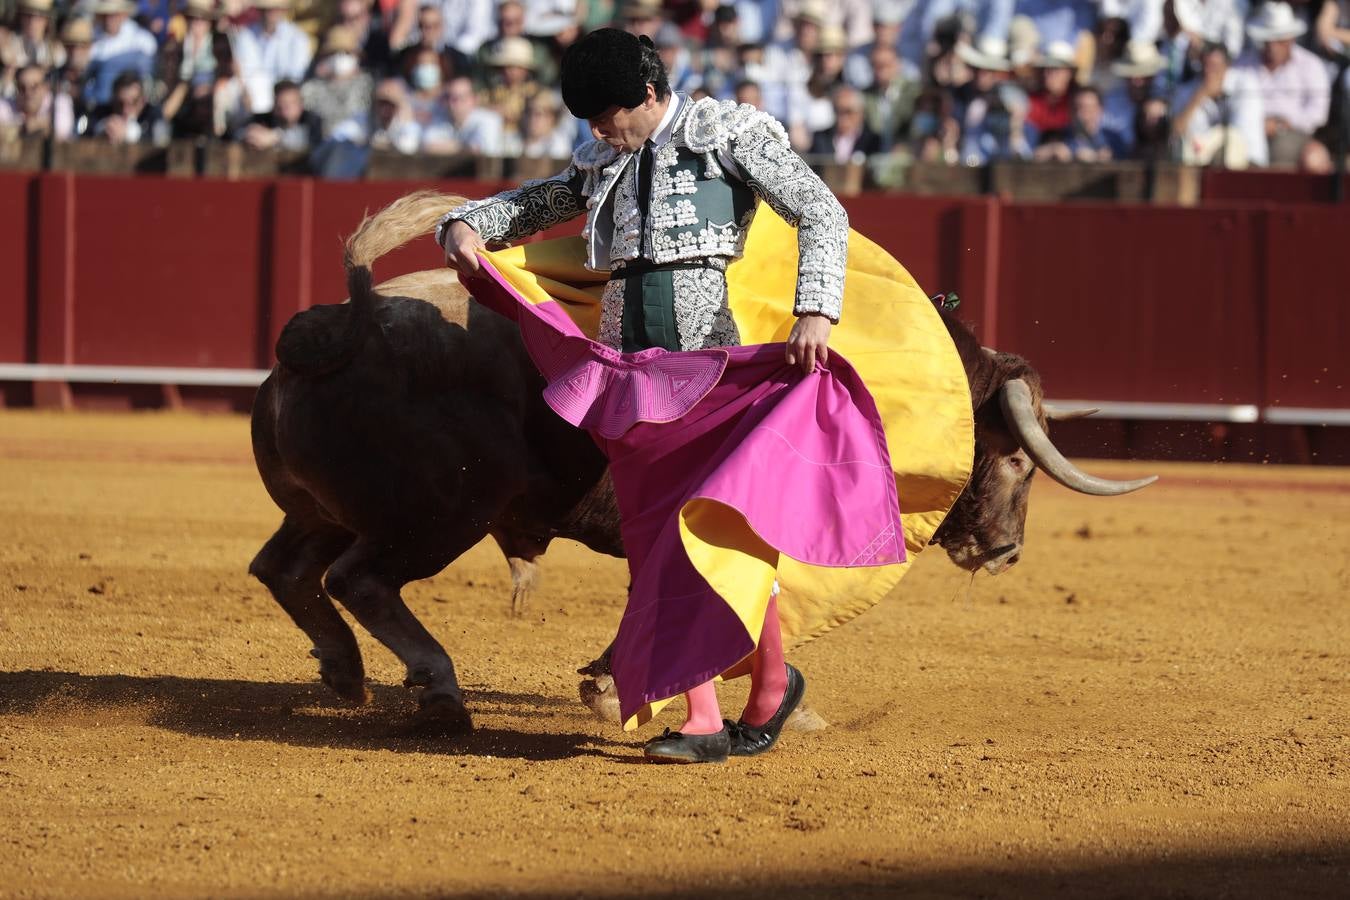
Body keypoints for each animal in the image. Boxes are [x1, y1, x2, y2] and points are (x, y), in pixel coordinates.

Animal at [248, 194, 1155, 734]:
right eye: (1019, 462)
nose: (1006, 551)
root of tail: (346, 323)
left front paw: (618, 686)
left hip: (324, 509)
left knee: (285, 568)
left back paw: (345, 674)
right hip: (441, 513)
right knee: (362, 579)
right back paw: (435, 690)